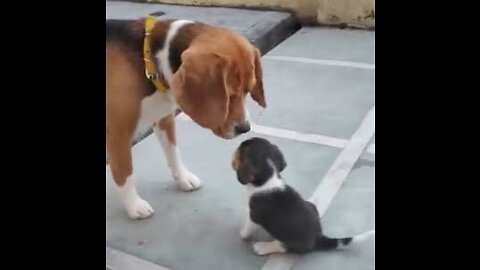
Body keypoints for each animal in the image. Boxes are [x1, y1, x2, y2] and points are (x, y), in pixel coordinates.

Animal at [105, 17, 268, 219]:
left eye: (248, 90)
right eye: (229, 96)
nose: (245, 128)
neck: (149, 59)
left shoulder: (165, 118)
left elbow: (174, 153)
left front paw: (183, 178)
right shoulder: (118, 134)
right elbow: (125, 173)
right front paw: (134, 205)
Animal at [231, 137, 374, 255]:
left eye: (239, 152)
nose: (232, 156)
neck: (268, 179)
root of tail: (318, 237)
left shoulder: (253, 215)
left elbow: (248, 227)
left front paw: (243, 234)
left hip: (288, 238)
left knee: (283, 247)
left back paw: (262, 247)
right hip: (311, 205)